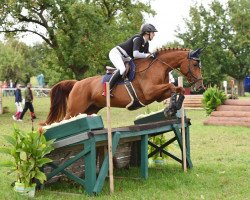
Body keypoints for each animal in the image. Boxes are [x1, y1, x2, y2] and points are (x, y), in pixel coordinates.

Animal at [43, 47, 203, 124]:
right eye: (195, 64)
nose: (201, 87)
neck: (158, 67)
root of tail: (77, 83)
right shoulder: (149, 93)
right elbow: (172, 87)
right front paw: (171, 108)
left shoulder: (157, 95)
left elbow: (177, 89)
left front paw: (173, 107)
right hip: (75, 109)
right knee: (64, 120)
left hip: (90, 109)